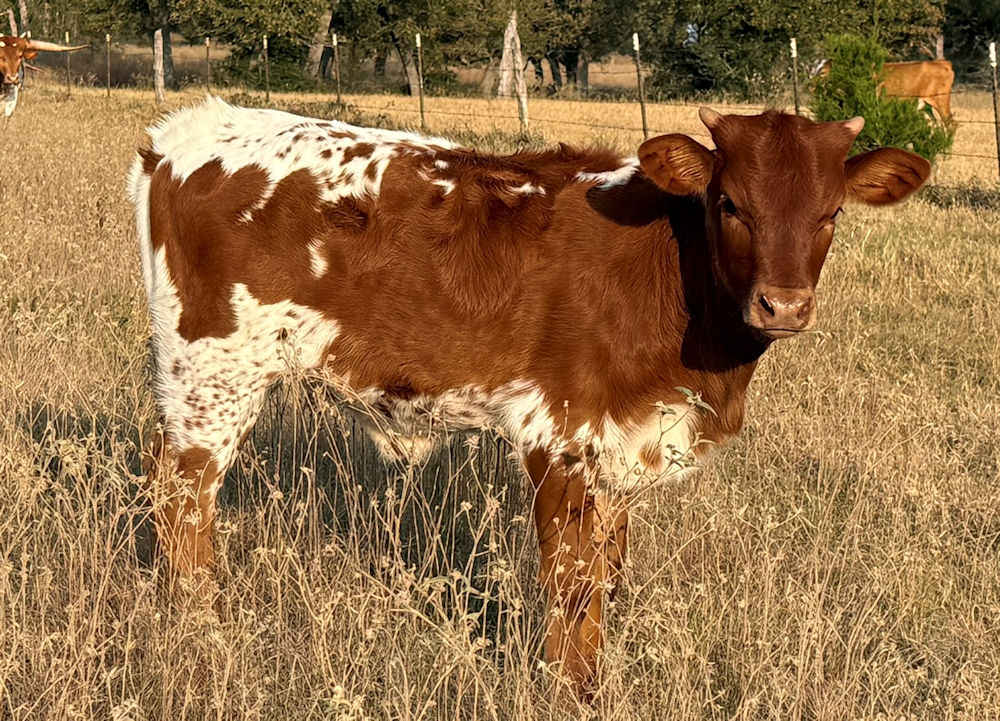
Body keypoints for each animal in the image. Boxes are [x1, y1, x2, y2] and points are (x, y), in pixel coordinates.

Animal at [128, 97, 929, 698]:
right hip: (213, 370)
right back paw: (199, 628)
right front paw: (568, 689)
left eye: (831, 213)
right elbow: (571, 581)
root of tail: (188, 131)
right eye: (730, 203)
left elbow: (606, 573)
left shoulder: (621, 447)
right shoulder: (558, 432)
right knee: (182, 496)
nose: (783, 305)